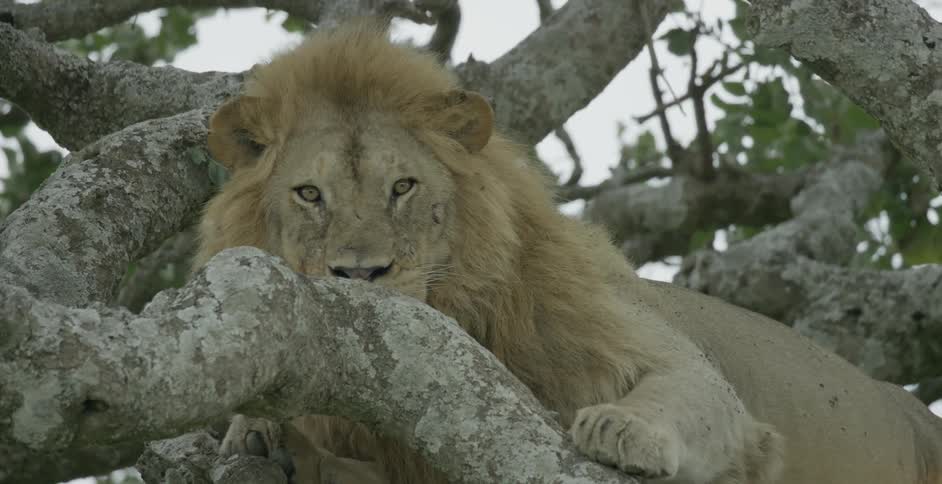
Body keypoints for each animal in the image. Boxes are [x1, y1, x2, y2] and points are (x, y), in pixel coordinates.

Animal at [194, 21, 942, 484]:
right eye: (309, 194)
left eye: (402, 187)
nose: (359, 274)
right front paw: (260, 437)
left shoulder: (680, 371)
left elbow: (685, 392)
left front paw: (622, 427)